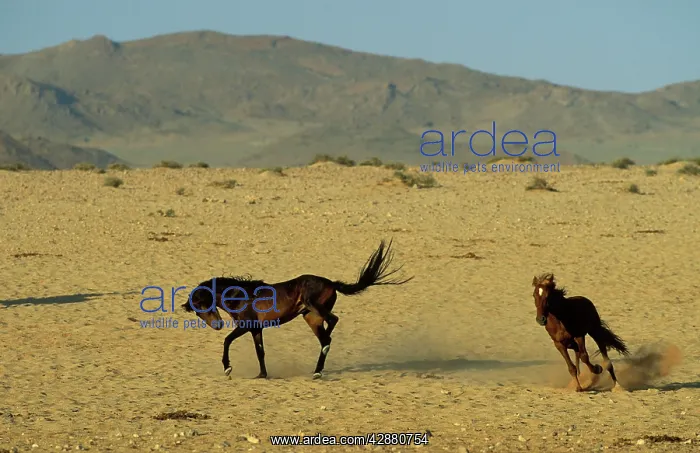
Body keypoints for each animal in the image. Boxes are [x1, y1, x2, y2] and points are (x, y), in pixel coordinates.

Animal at [182, 239, 413, 379]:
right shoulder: (256, 329)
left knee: (332, 323)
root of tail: (331, 283)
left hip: (313, 306)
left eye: (202, 304)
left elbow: (227, 340)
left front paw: (227, 368)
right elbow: (260, 352)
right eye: (197, 311)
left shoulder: (247, 326)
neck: (240, 296)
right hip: (311, 318)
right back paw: (317, 370)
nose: (217, 325)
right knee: (326, 332)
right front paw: (262, 375)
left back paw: (322, 359)